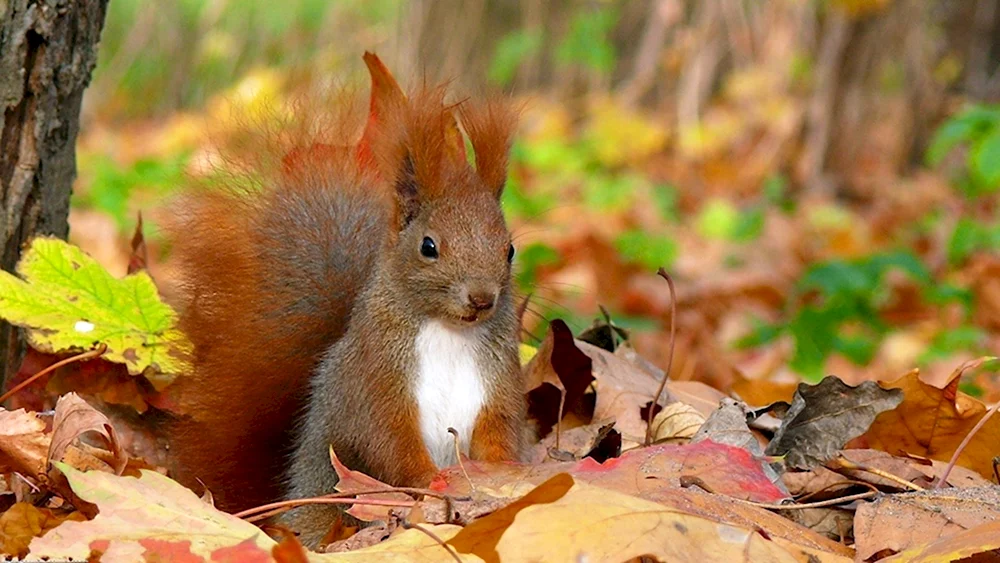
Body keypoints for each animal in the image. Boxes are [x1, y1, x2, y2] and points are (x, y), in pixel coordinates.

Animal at [158, 54, 524, 548]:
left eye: (509, 249)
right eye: (429, 246)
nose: (482, 298)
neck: (449, 331)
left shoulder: (497, 382)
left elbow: (498, 434)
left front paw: (506, 477)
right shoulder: (376, 381)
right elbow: (391, 443)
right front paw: (431, 484)